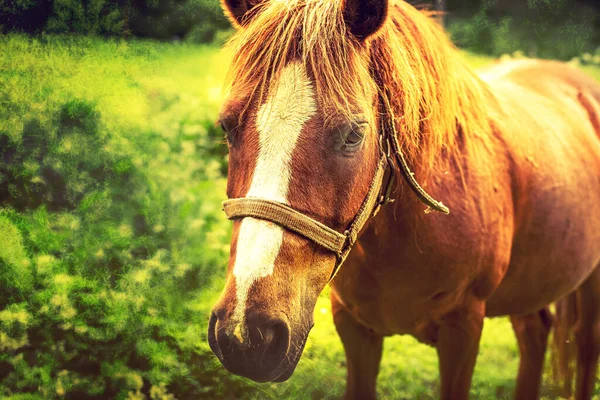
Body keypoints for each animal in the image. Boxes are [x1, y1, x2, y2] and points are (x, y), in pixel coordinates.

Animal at [206, 0, 600, 396]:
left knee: (585, 345)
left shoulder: (463, 328)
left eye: (354, 134)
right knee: (535, 332)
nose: (246, 333)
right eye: (227, 126)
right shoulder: (353, 326)